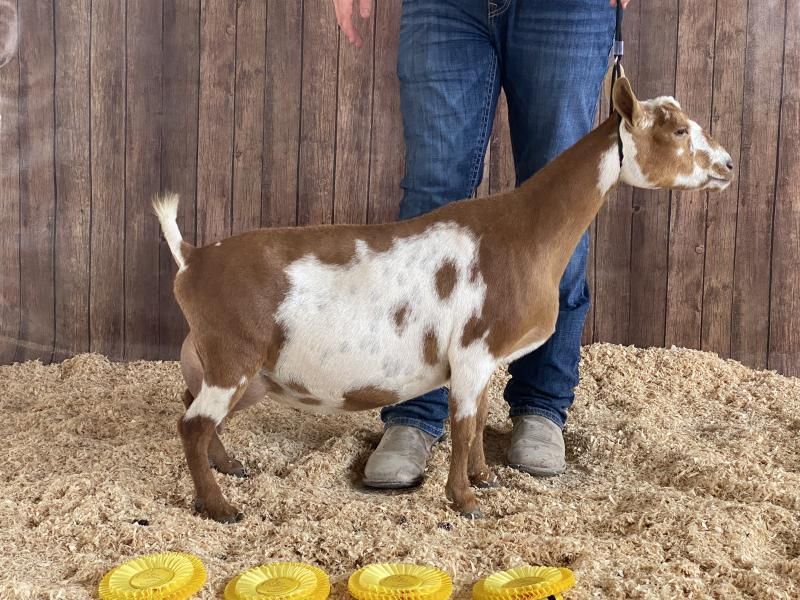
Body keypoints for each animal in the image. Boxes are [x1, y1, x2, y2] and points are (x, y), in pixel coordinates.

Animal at [155, 77, 734, 523]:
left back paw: (229, 467)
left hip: (240, 371)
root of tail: (194, 258)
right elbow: (460, 425)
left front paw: (485, 477)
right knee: (191, 424)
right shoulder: (473, 351)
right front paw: (465, 500)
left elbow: (477, 421)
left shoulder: (487, 357)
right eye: (678, 130)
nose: (729, 164)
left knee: (193, 406)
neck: (524, 232)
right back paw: (219, 506)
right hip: (233, 357)